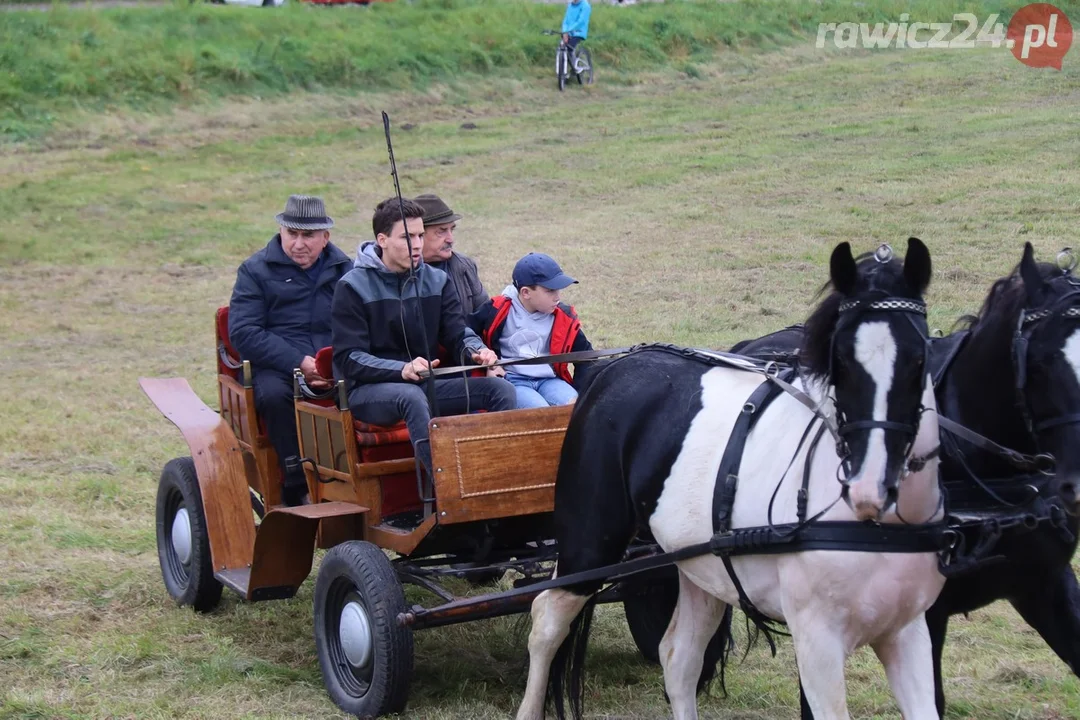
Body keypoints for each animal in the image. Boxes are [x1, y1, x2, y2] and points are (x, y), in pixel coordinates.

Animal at [514, 239, 946, 716]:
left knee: (678, 656)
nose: (870, 487)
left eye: (920, 359)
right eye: (840, 362)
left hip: (698, 564)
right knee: (548, 619)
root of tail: (613, 368)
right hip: (591, 544)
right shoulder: (817, 640)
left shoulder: (908, 632)